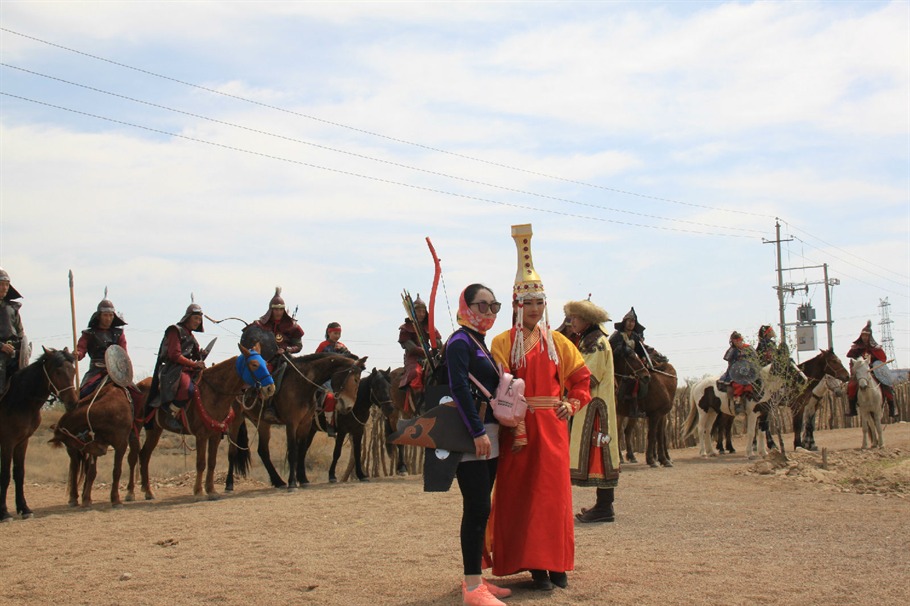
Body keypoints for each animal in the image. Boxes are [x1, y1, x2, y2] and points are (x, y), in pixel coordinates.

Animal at [0, 346, 77, 524]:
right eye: (57, 372)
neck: (19, 399)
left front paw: (24, 509)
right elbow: (5, 475)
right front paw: (4, 513)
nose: (73, 403)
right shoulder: (7, 443)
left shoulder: (22, 442)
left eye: (73, 370)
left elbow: (19, 473)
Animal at [48, 382, 141, 510]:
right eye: (69, 442)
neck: (109, 410)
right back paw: (74, 498)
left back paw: (130, 493)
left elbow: (116, 471)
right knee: (75, 467)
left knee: (131, 460)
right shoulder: (94, 443)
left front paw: (115, 500)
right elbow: (91, 472)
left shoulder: (120, 444)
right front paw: (86, 499)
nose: (102, 450)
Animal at [125, 358, 260, 502]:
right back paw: (130, 493)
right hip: (136, 426)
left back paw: (148, 491)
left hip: (154, 430)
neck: (215, 393)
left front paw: (211, 491)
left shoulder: (215, 435)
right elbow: (201, 463)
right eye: (255, 364)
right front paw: (199, 492)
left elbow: (212, 462)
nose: (260, 389)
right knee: (133, 456)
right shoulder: (201, 435)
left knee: (144, 455)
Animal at [226, 354, 366, 492]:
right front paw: (292, 483)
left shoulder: (306, 424)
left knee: (263, 451)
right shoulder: (291, 424)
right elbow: (293, 451)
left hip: (262, 424)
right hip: (236, 420)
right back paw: (229, 484)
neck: (302, 384)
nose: (348, 407)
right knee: (232, 450)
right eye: (355, 380)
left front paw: (303, 480)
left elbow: (302, 450)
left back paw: (279, 481)